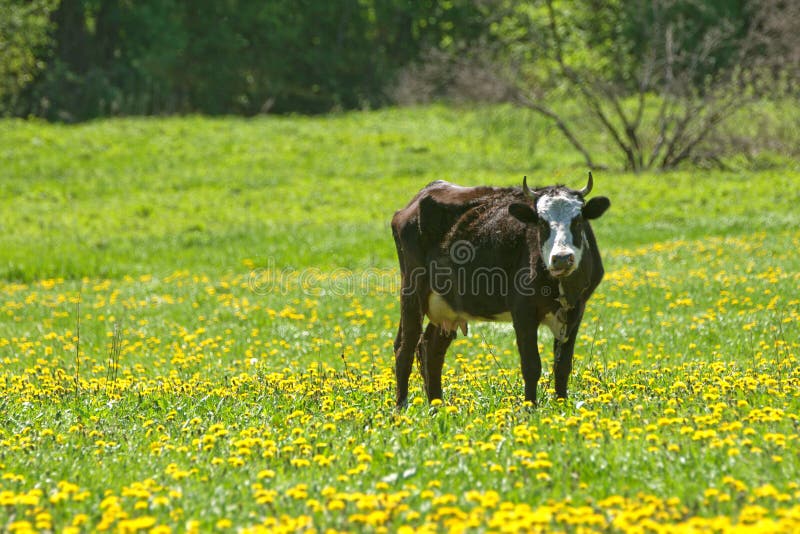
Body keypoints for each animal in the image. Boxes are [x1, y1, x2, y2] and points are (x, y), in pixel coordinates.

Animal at [390, 174, 608, 408]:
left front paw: (562, 406)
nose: (561, 258)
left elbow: (562, 366)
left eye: (578, 220)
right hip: (412, 291)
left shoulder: (576, 310)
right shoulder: (523, 311)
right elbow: (531, 366)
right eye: (541, 222)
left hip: (448, 306)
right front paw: (530, 408)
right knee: (404, 348)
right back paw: (401, 408)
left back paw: (437, 407)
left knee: (430, 349)